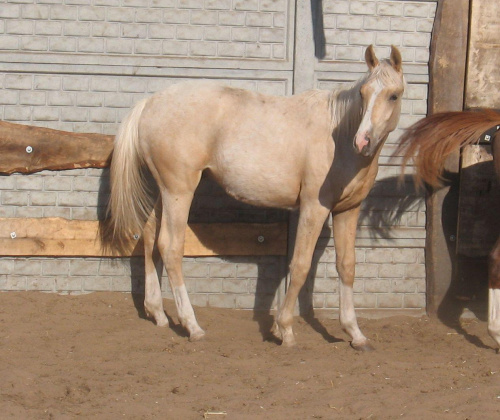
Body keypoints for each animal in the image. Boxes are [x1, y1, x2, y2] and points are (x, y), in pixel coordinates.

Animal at [107, 44, 404, 350]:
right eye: (363, 93)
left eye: (393, 95)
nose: (363, 141)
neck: (339, 139)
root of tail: (149, 103)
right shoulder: (314, 208)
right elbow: (300, 265)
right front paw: (284, 329)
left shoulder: (348, 210)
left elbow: (346, 266)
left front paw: (355, 333)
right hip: (179, 191)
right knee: (170, 247)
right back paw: (192, 326)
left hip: (164, 191)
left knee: (149, 235)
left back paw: (157, 313)